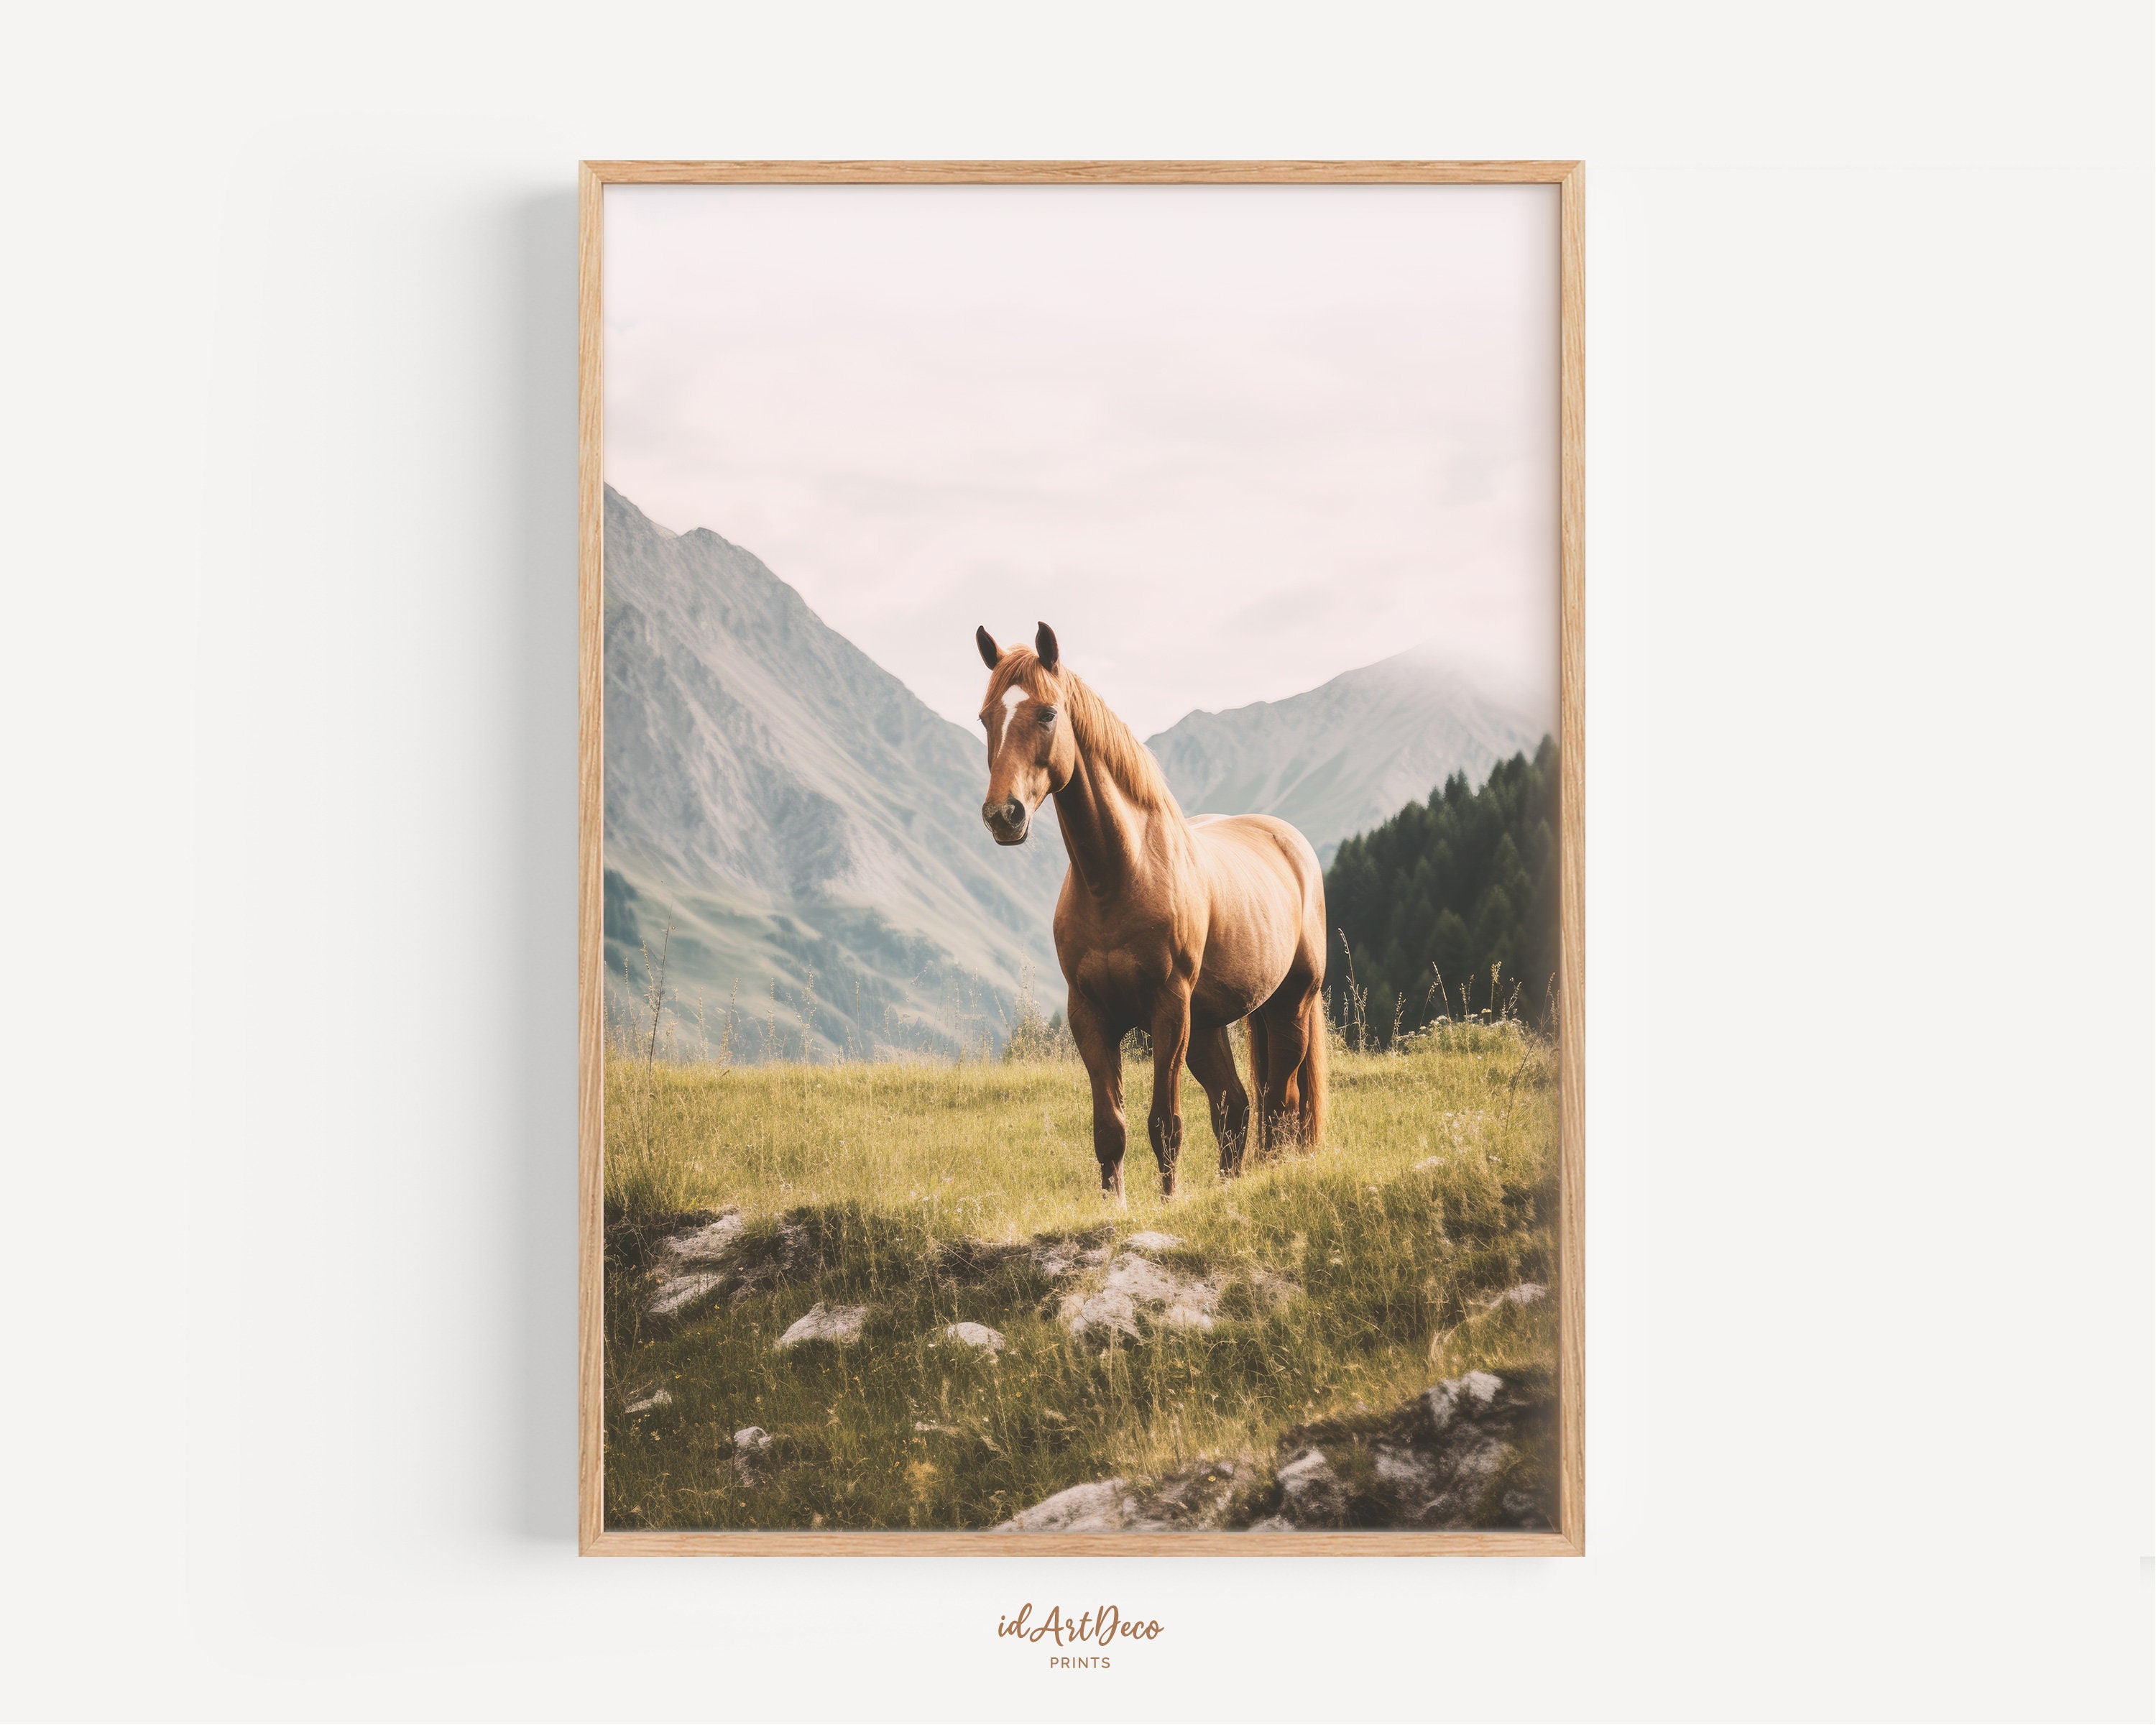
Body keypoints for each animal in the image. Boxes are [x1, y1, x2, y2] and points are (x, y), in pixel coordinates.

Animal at [974, 621, 1329, 1200]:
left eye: (1048, 713)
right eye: (986, 718)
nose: (1004, 815)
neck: (1120, 878)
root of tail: (1288, 841)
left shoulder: (1168, 1011)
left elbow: (1165, 1122)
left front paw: (1168, 1202)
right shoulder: (1090, 1015)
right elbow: (1110, 1128)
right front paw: (1114, 1206)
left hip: (1289, 1006)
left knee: (1280, 1104)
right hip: (1208, 1026)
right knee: (1235, 1108)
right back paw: (1229, 1186)